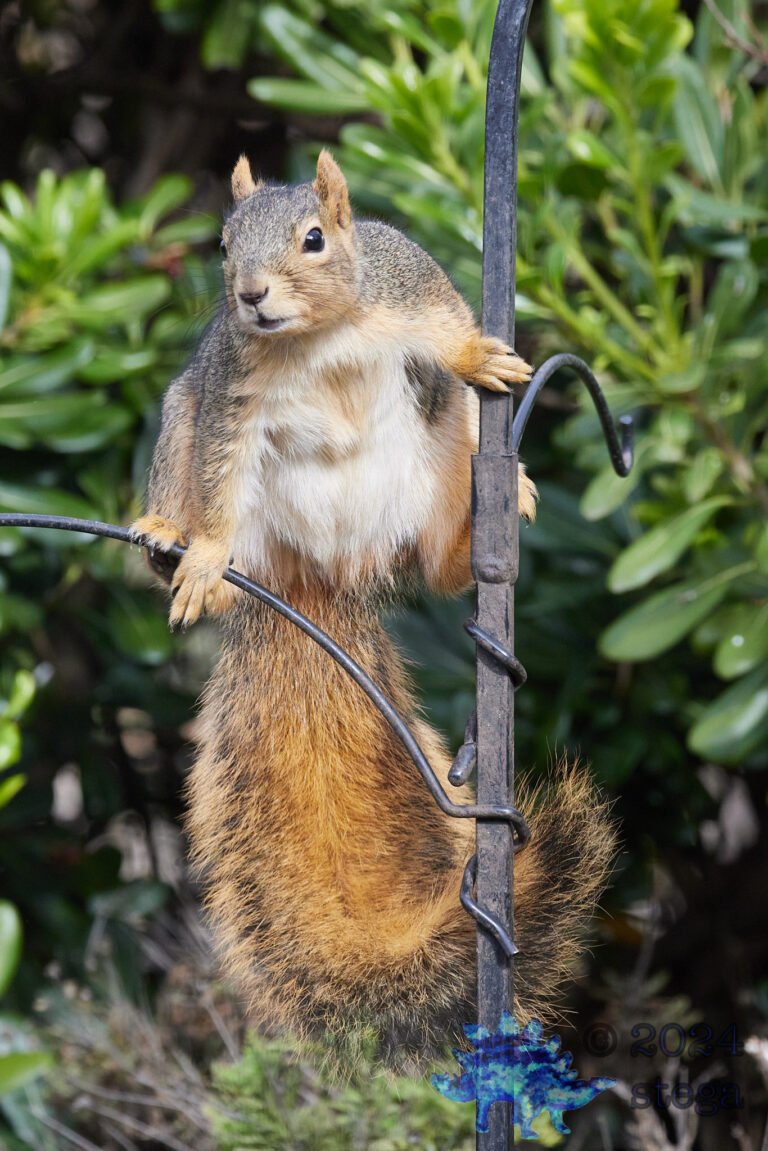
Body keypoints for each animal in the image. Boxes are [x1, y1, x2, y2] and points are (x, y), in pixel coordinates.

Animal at [131, 151, 616, 1066]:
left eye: (316, 239)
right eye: (223, 244)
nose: (249, 296)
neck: (314, 337)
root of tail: (316, 574)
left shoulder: (404, 285)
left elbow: (447, 322)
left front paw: (483, 354)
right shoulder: (230, 397)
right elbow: (219, 470)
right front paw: (203, 552)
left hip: (438, 452)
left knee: (438, 564)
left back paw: (486, 522)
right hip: (183, 423)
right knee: (193, 482)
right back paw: (167, 534)